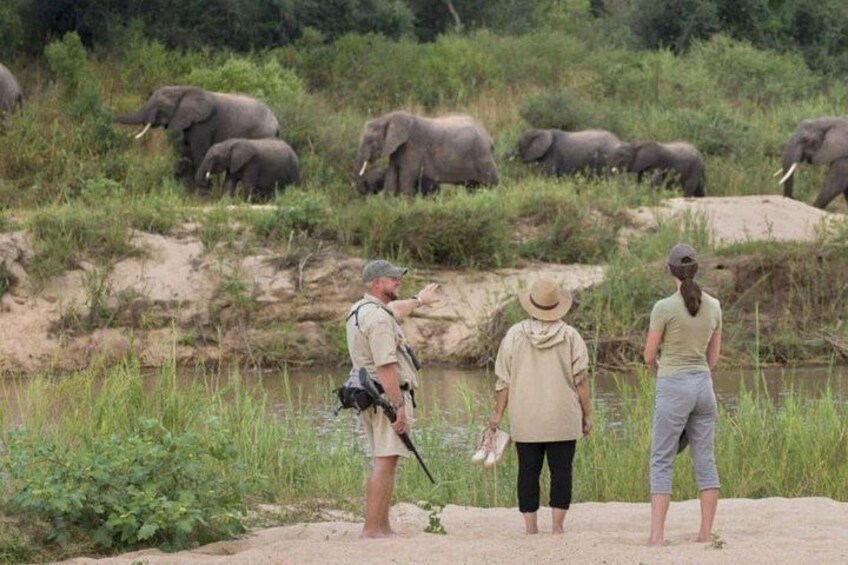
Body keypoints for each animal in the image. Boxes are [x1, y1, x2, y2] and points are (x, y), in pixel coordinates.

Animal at [114, 86, 279, 181]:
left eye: (160, 106)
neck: (184, 89)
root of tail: (276, 122)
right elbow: (185, 149)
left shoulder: (203, 124)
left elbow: (198, 152)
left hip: (262, 133)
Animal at [356, 110, 499, 196]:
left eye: (370, 140)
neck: (387, 117)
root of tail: (488, 135)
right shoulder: (398, 149)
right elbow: (392, 173)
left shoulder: (414, 145)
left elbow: (407, 174)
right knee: (473, 186)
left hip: (482, 154)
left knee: (491, 183)